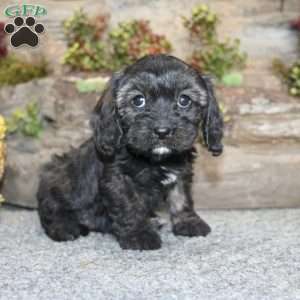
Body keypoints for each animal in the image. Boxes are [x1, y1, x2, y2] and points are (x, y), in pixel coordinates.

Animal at [37, 54, 223, 251]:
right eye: (138, 100)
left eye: (184, 100)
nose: (162, 131)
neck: (155, 159)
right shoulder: (118, 179)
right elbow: (129, 206)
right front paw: (139, 235)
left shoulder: (181, 172)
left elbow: (181, 197)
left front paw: (189, 222)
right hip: (58, 179)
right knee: (51, 209)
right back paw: (64, 227)